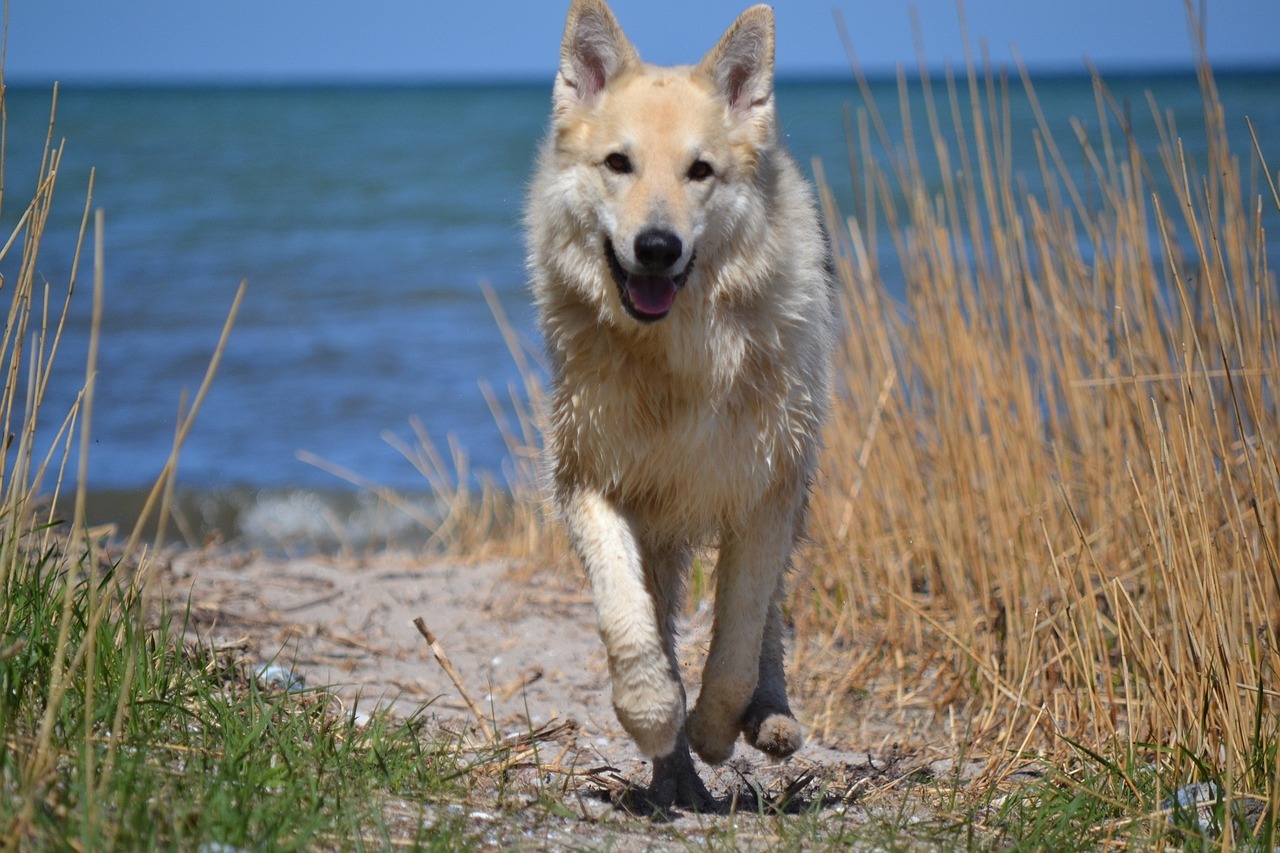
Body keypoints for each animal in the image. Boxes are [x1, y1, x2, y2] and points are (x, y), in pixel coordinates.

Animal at [524, 0, 834, 809]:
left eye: (700, 171)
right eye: (618, 164)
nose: (657, 247)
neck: (676, 358)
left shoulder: (764, 493)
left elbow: (736, 641)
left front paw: (718, 730)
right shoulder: (591, 483)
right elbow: (628, 620)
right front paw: (655, 717)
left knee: (766, 623)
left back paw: (769, 718)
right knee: (660, 618)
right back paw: (676, 779)